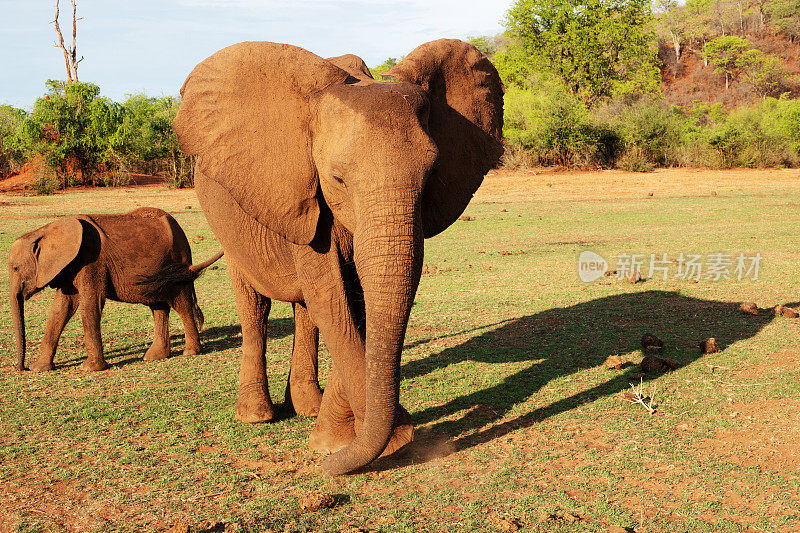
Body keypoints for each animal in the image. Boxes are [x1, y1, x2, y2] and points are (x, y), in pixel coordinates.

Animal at [7, 206, 223, 372]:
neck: (45, 231)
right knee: (159, 306)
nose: (21, 368)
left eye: (15, 268)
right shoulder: (69, 266)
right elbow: (61, 308)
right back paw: (155, 357)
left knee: (182, 305)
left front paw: (90, 369)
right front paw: (39, 369)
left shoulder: (91, 261)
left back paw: (190, 353)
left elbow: (90, 305)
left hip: (179, 262)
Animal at [174, 40, 504, 474]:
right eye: (337, 179)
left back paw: (308, 408)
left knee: (305, 311)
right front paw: (384, 440)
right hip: (228, 219)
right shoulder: (302, 194)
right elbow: (332, 299)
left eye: (431, 175)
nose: (324, 471)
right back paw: (256, 416)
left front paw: (334, 442)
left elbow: (355, 305)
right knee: (255, 304)